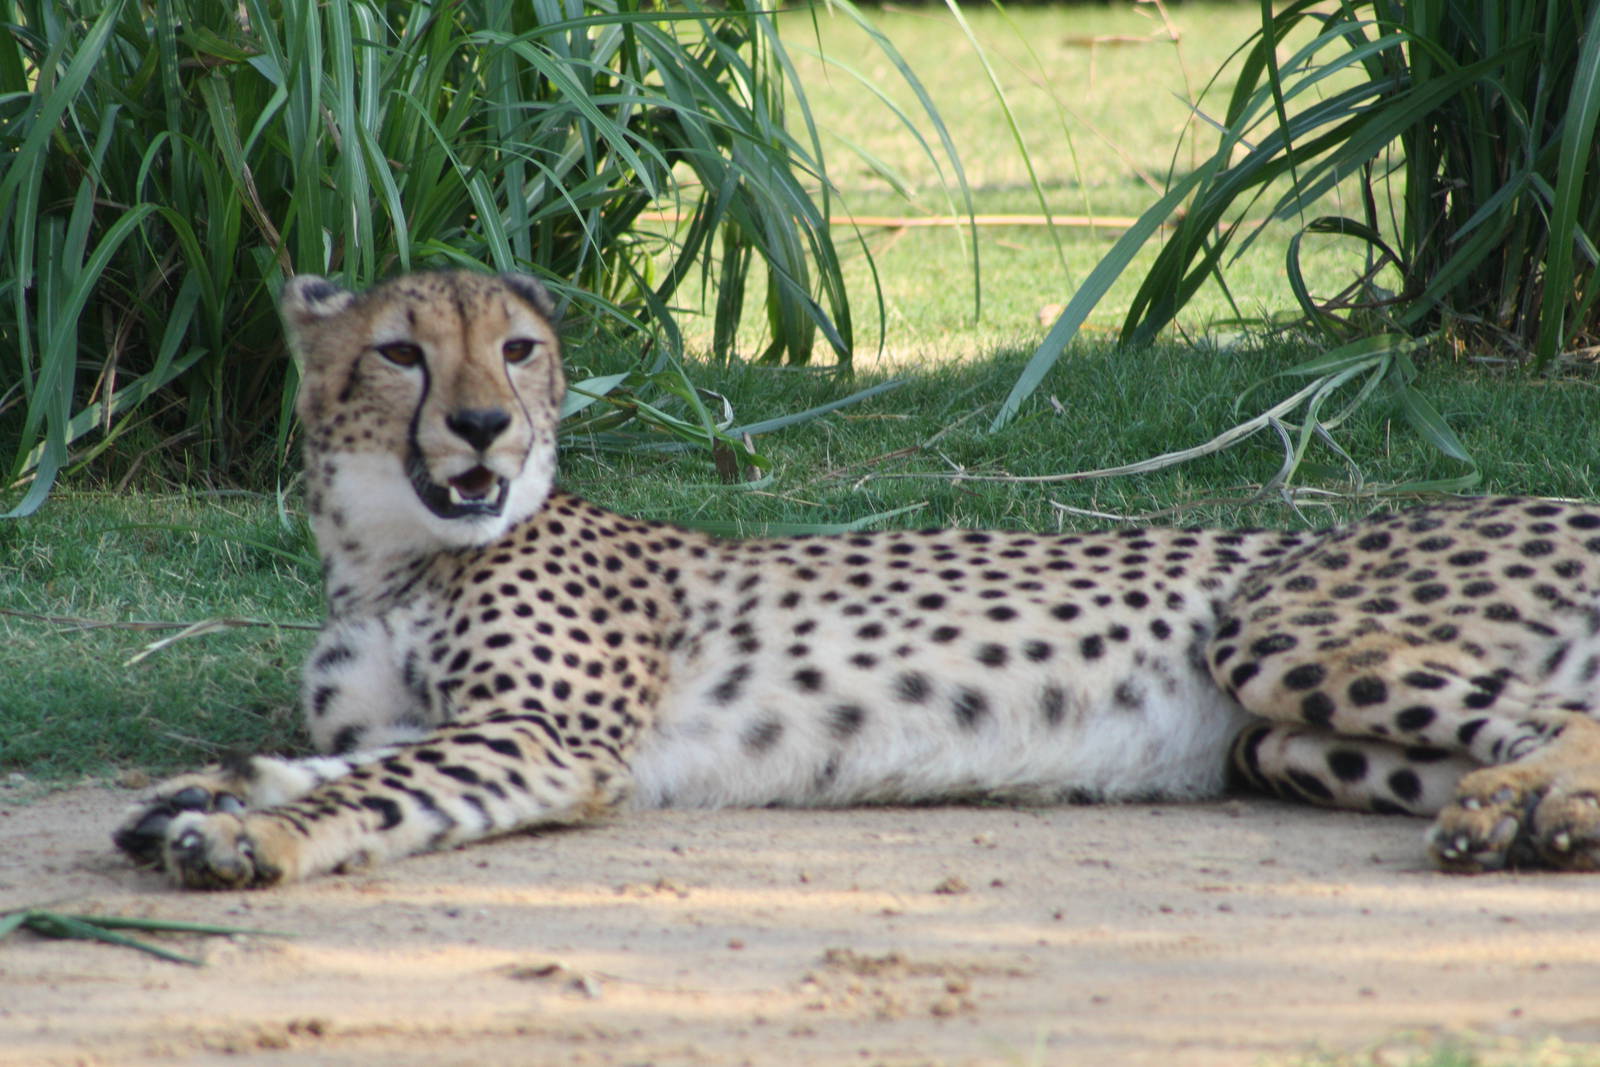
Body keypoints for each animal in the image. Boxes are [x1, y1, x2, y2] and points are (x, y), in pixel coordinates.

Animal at [113, 269, 1600, 889]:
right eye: (403, 353)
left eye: (520, 348)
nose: (482, 427)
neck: (383, 554)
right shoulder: (459, 716)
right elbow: (333, 754)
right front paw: (205, 794)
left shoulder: (552, 735)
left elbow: (378, 786)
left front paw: (252, 836)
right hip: (1284, 740)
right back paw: (1522, 816)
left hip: (1274, 618)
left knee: (1565, 715)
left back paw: (1521, 815)